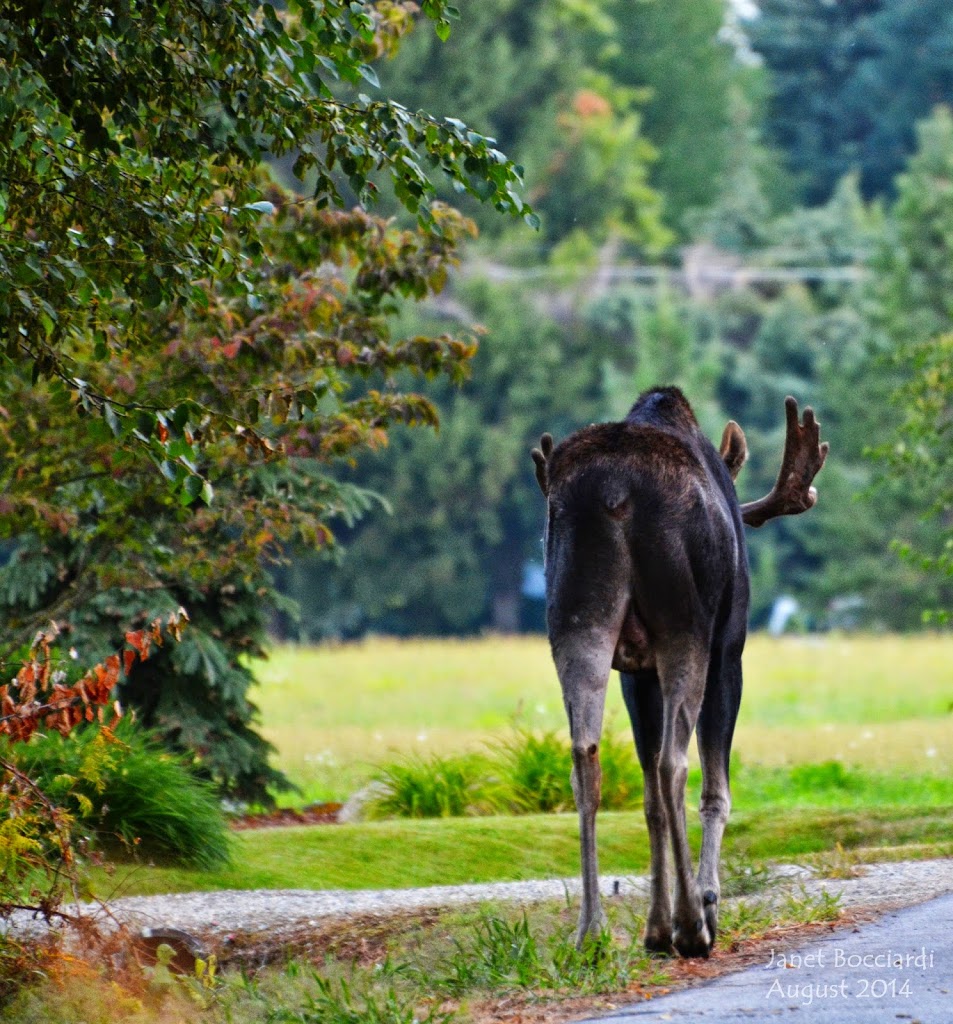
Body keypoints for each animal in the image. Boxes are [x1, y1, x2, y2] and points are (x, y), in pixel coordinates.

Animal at [528, 387, 827, 954]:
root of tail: (617, 491)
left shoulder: (634, 672)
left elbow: (647, 798)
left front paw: (654, 924)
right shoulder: (729, 648)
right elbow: (715, 787)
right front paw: (705, 901)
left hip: (575, 617)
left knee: (586, 756)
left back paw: (592, 929)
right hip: (686, 624)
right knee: (674, 763)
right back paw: (691, 925)